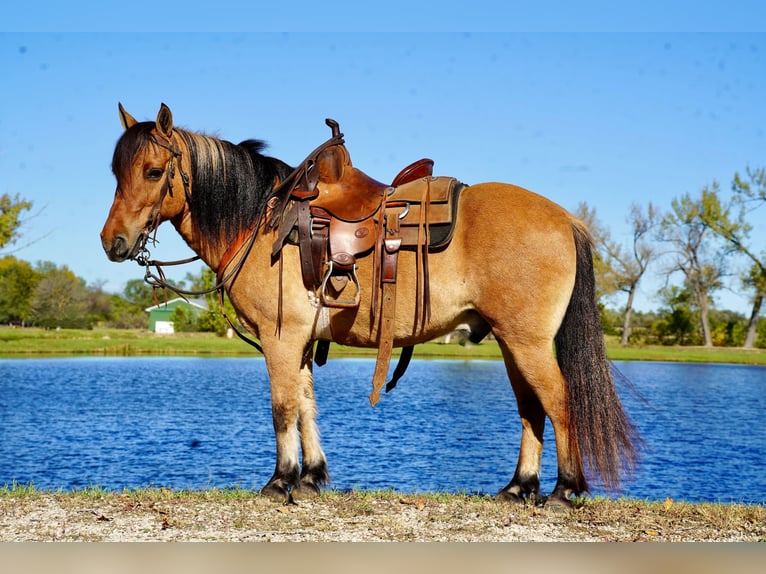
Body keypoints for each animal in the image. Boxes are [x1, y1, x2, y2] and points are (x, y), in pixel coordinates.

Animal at [100, 103, 638, 507]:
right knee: (531, 406)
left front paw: (280, 480)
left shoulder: (280, 338)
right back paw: (517, 487)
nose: (113, 242)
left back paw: (564, 490)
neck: (260, 220)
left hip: (527, 341)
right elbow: (306, 405)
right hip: (512, 342)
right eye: (116, 172)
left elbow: (282, 407)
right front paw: (311, 478)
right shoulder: (300, 342)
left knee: (559, 401)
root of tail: (565, 218)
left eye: (153, 171)